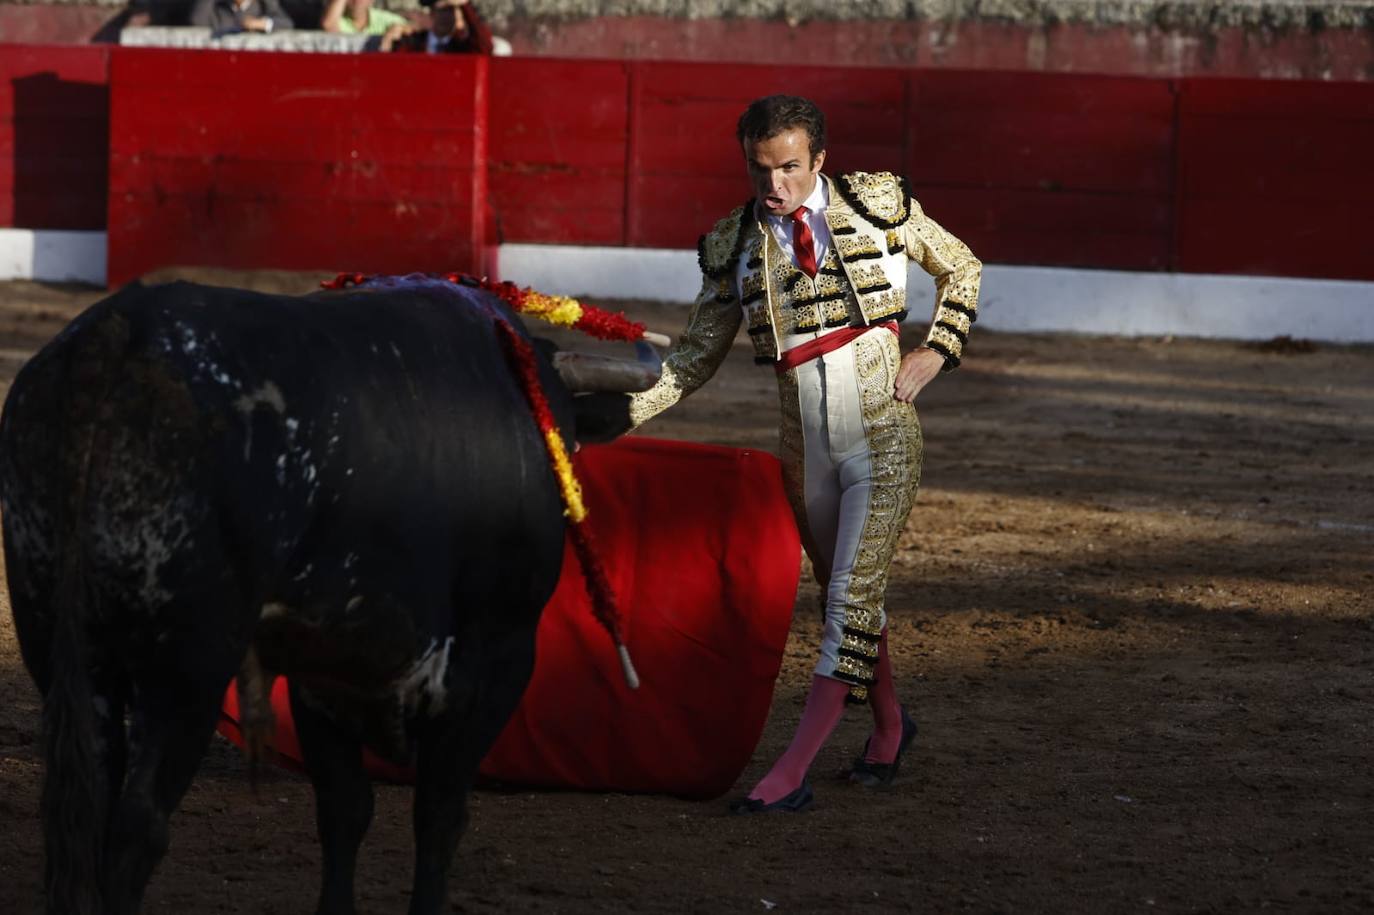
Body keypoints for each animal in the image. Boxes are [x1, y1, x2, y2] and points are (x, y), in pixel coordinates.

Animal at [1, 277, 654, 912]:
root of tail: (116, 336)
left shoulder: (324, 673)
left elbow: (345, 809)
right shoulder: (498, 656)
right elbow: (439, 815)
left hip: (65, 645)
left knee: (85, 804)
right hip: (187, 667)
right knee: (139, 825)